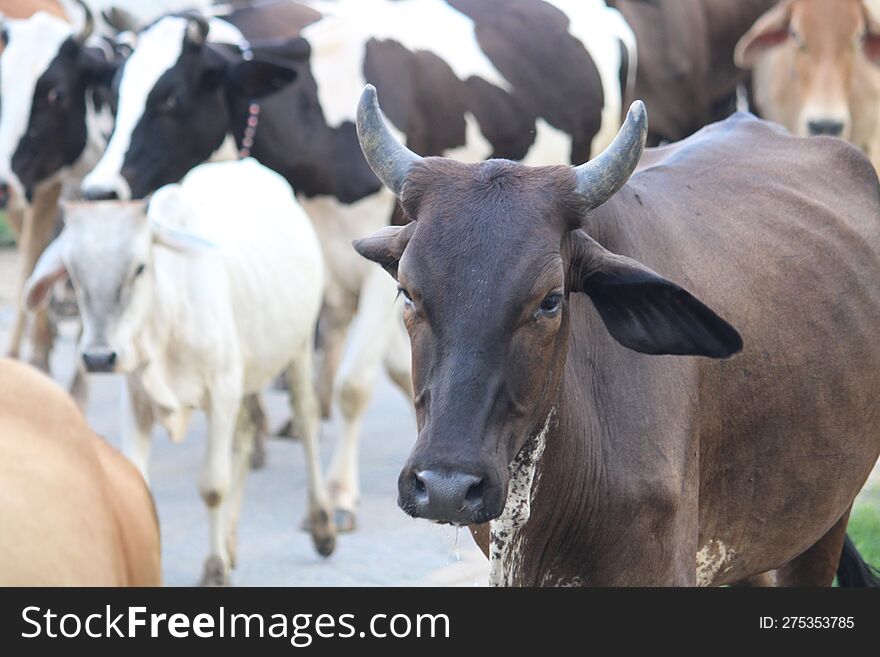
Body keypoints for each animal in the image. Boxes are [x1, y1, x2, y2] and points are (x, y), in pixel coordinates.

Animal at [24, 158, 336, 584]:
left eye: (140, 267)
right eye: (73, 272)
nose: (99, 357)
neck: (165, 318)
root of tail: (246, 162)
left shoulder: (221, 392)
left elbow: (214, 485)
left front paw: (215, 568)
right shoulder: (137, 398)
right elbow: (137, 479)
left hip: (299, 346)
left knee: (305, 419)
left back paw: (321, 524)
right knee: (245, 435)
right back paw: (232, 542)